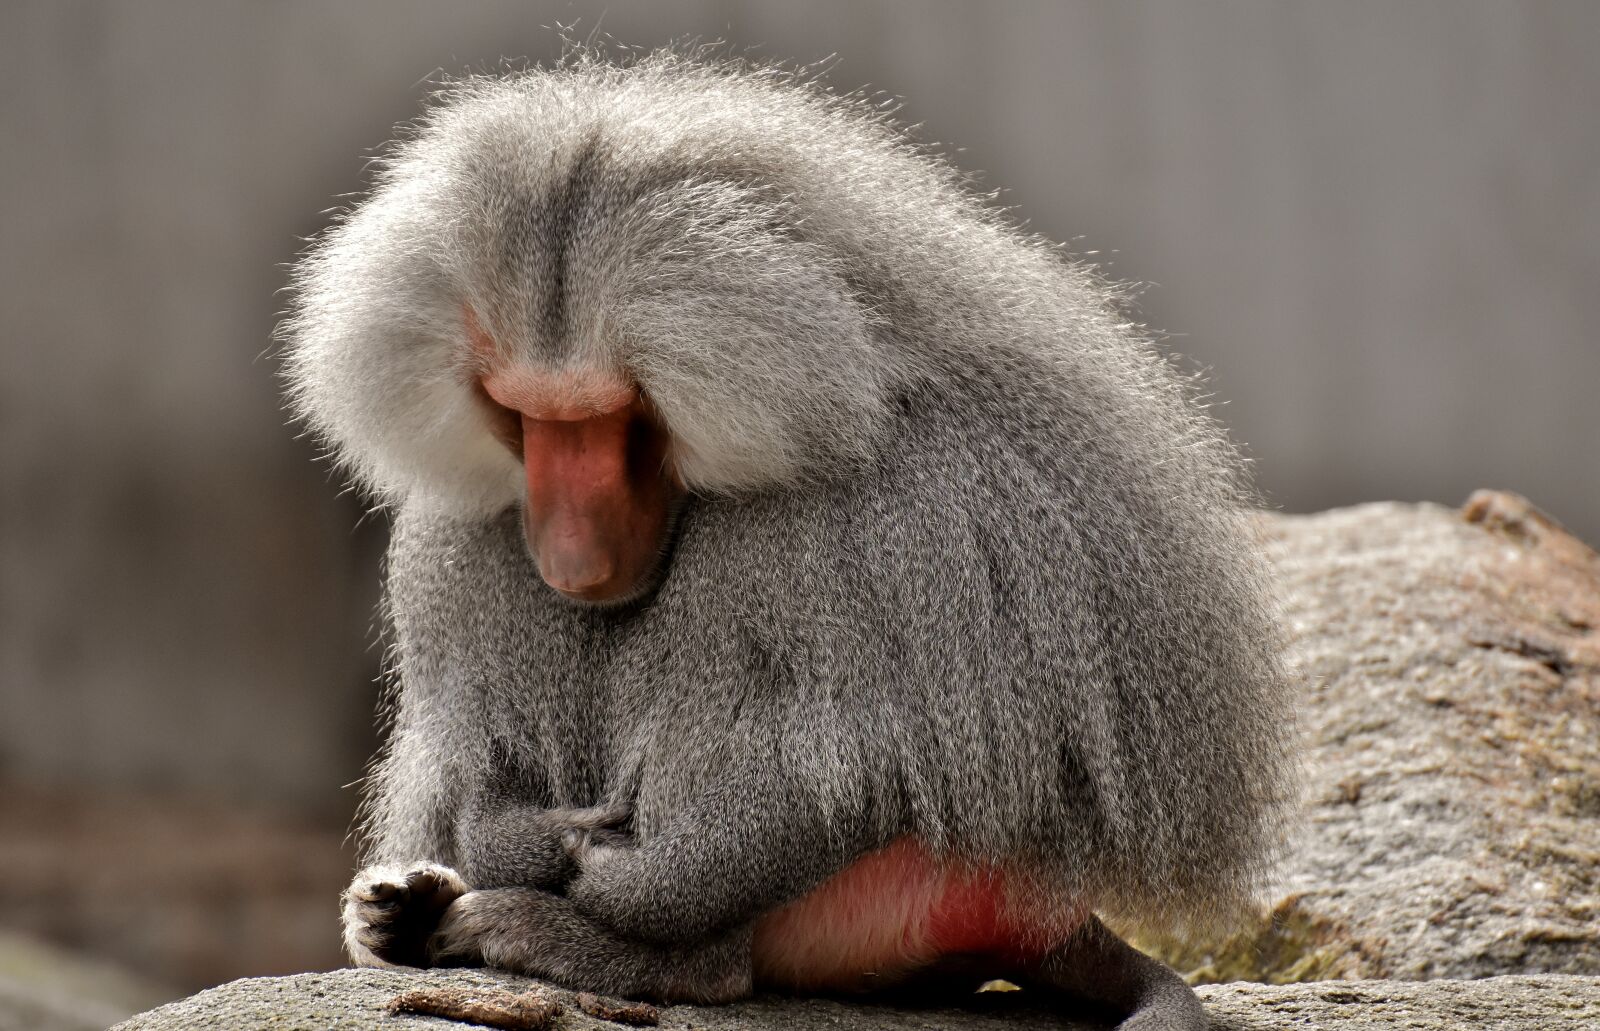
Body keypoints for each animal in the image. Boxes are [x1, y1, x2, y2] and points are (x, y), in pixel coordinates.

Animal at [278, 47, 1297, 1031]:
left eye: (618, 418)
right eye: (517, 414)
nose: (569, 558)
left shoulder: (893, 515)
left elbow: (859, 762)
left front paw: (618, 881)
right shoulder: (465, 539)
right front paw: (493, 856)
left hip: (925, 880)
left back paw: (616, 949)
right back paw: (416, 916)